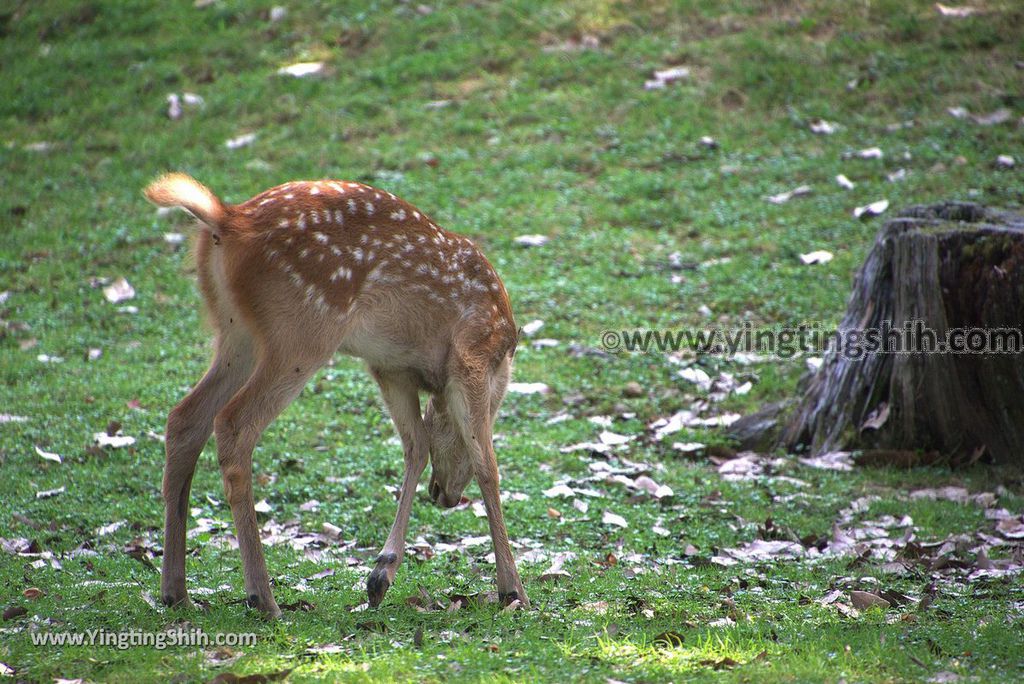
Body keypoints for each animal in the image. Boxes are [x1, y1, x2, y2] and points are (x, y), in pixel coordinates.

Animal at [144, 169, 528, 614]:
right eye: (492, 414)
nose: (444, 494)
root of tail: (227, 220)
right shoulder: (470, 358)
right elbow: (487, 465)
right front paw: (512, 590)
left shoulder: (389, 366)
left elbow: (416, 446)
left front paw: (380, 575)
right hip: (302, 332)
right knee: (234, 424)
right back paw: (263, 598)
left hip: (236, 333)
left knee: (185, 418)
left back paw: (177, 591)